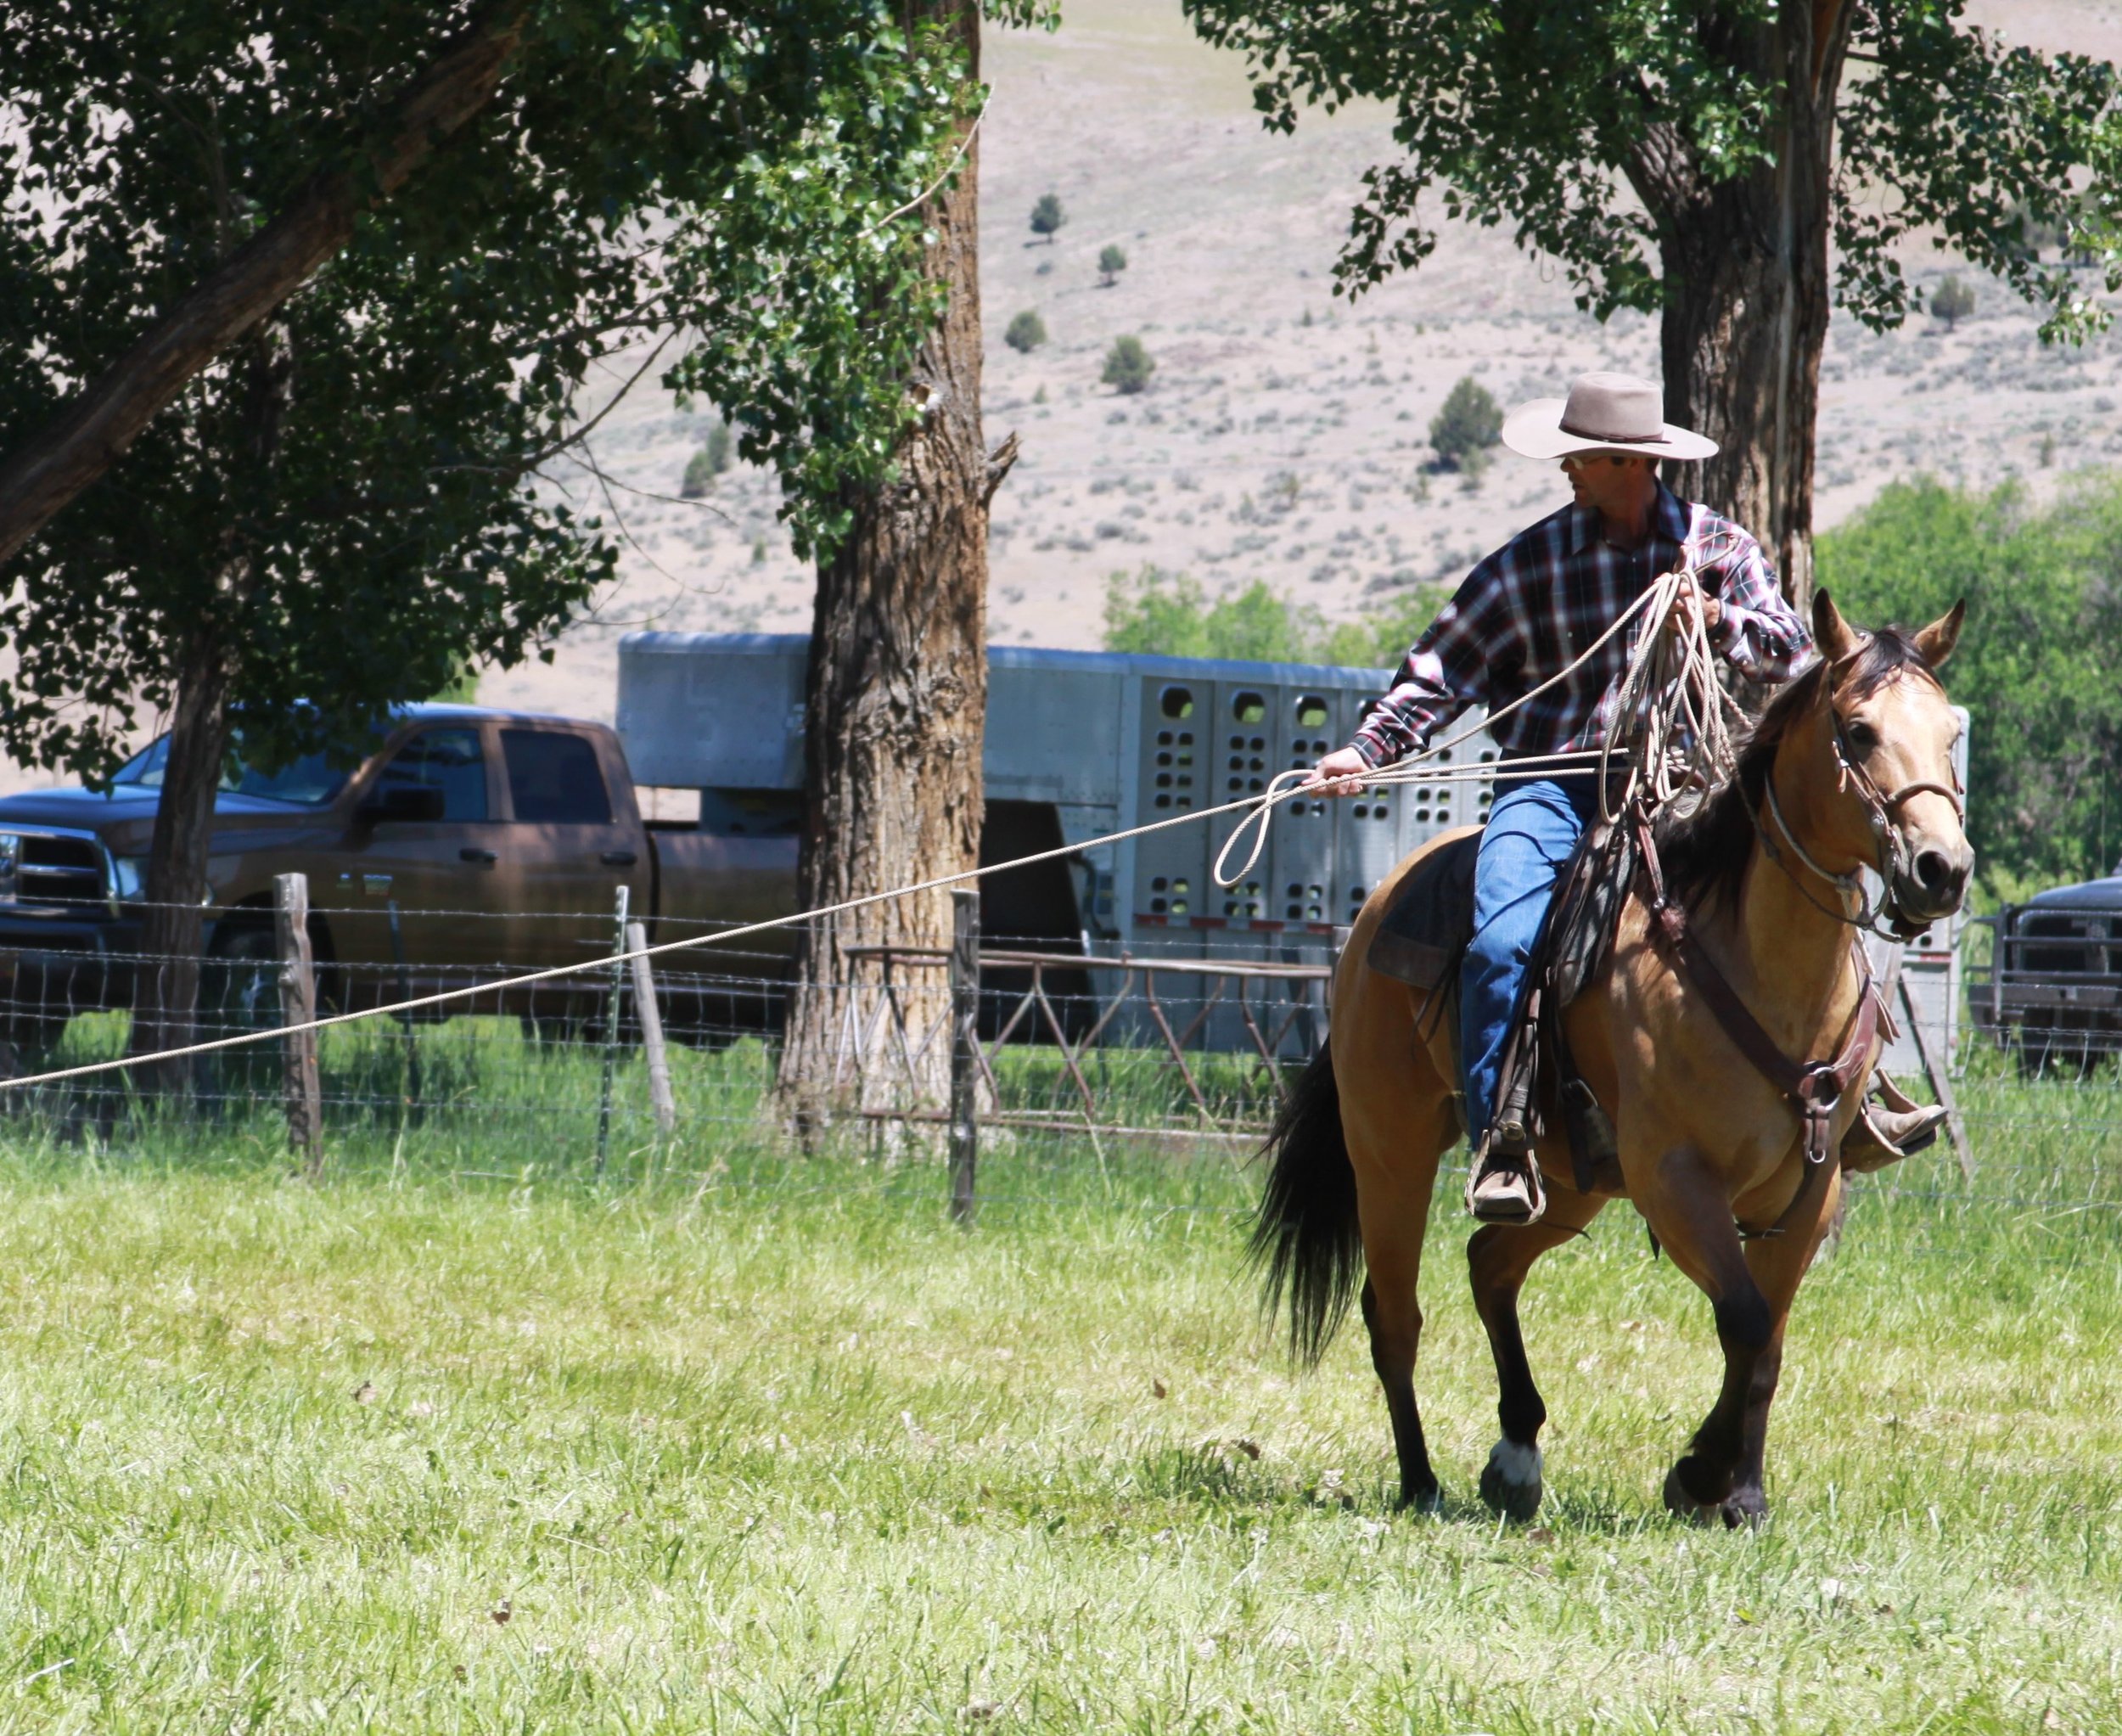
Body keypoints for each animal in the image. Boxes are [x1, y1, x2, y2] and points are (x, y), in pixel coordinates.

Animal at [1256, 590, 1969, 1511]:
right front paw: (1700, 1471)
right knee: (1394, 1314)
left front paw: (1739, 1491)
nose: (1941, 868)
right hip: (1390, 1148)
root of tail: (1378, 904)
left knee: (1489, 1263)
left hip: (1570, 1181)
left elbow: (1767, 1339)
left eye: (1948, 732)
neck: (1757, 965)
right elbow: (1743, 1317)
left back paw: (1516, 1451)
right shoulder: (1674, 1178)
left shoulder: (1810, 1187)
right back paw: (1420, 1480)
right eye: (1857, 730)